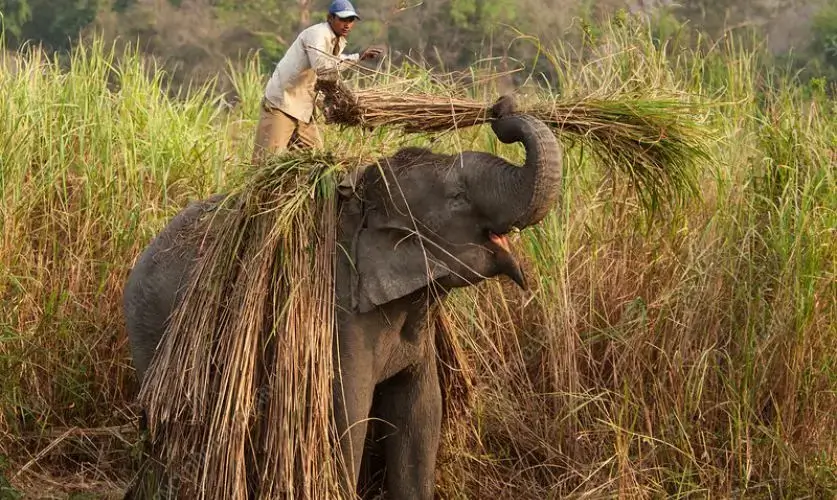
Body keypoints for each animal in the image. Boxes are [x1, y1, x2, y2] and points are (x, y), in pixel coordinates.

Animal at [122, 95, 562, 499]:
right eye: (457, 198)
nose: (502, 107)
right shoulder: (338, 318)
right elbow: (344, 418)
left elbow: (421, 414)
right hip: (154, 332)